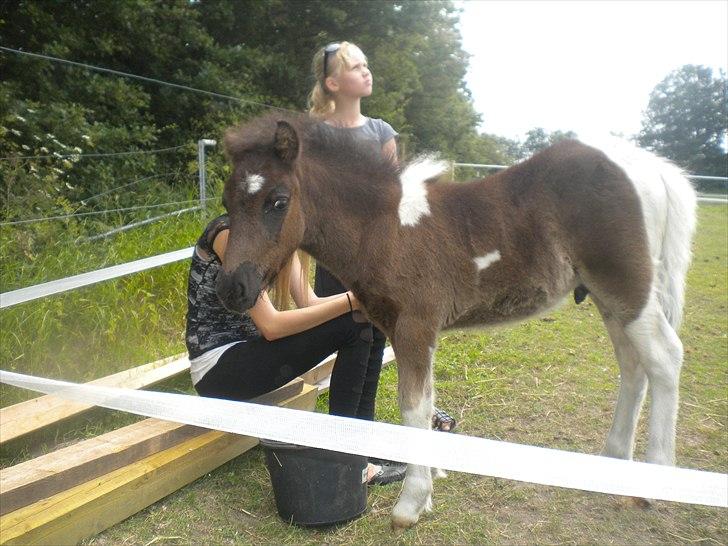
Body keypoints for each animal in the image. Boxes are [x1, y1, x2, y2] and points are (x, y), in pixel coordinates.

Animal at [219, 112, 696, 524]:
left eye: (278, 201)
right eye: (227, 200)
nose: (232, 288)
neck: (386, 229)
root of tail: (652, 169)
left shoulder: (414, 327)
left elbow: (413, 408)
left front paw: (410, 506)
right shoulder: (414, 331)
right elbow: (427, 404)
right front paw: (427, 490)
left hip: (628, 289)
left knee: (665, 358)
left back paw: (654, 484)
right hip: (609, 299)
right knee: (633, 367)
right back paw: (614, 468)